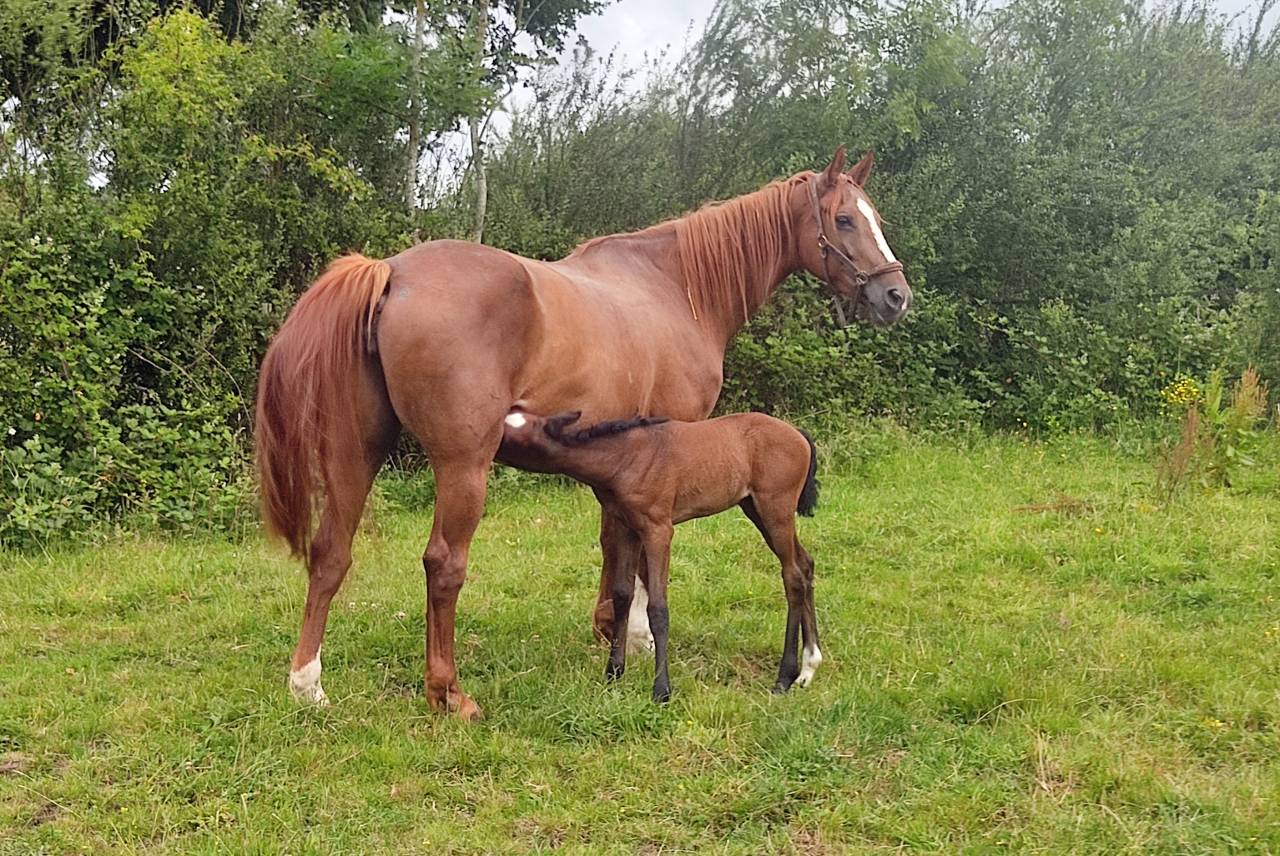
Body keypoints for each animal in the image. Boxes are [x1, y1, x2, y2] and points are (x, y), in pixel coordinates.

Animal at [499, 407, 822, 701]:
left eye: (512, 432)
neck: (623, 459)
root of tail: (799, 435)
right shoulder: (626, 526)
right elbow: (622, 595)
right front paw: (613, 673)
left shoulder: (658, 530)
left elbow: (657, 608)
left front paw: (661, 690)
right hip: (755, 508)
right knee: (805, 564)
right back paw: (809, 668)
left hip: (775, 509)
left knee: (793, 575)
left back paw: (784, 677)